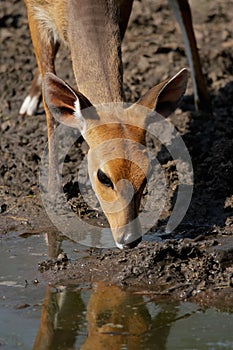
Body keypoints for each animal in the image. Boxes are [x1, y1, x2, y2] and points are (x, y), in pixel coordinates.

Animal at [20, 0, 206, 249]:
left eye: (146, 174)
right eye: (103, 177)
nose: (129, 239)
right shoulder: (34, 12)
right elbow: (51, 110)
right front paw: (53, 194)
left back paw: (204, 101)